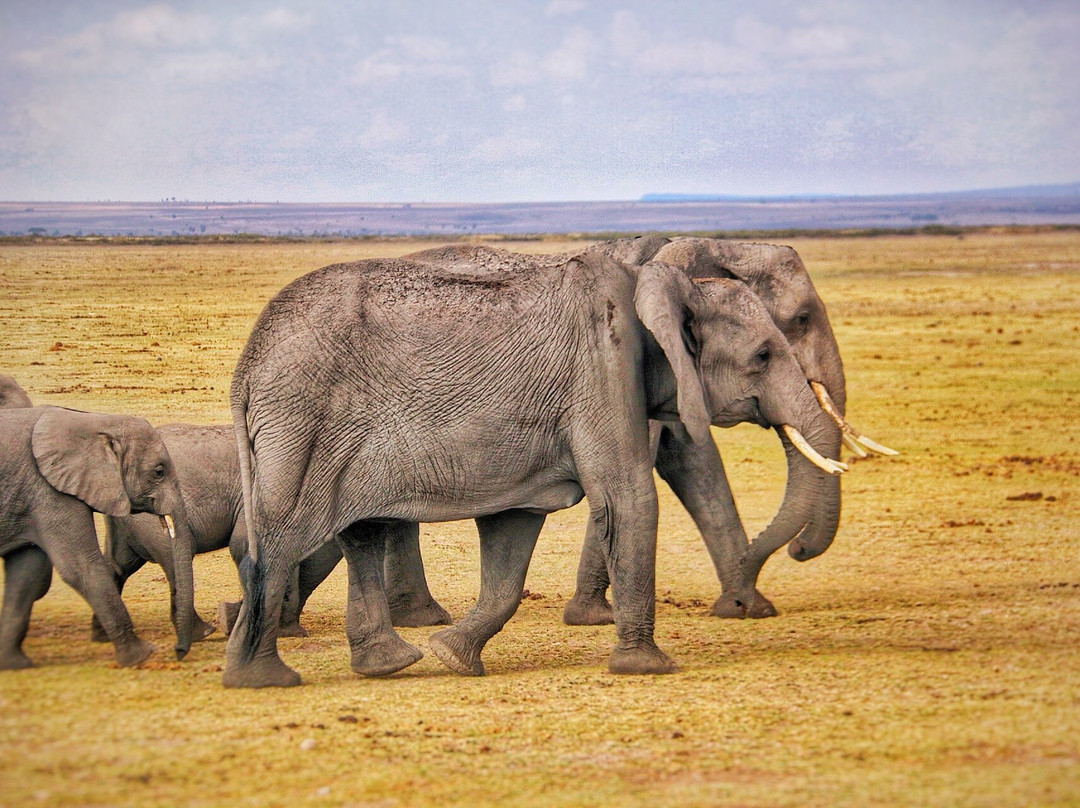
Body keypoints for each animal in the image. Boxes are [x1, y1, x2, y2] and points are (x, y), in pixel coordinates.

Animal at [0, 404, 196, 669]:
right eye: (159, 472)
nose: (178, 652)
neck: (95, 422)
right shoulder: (49, 490)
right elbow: (82, 568)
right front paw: (142, 655)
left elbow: (26, 574)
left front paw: (15, 663)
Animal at [221, 247, 842, 687]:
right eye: (764, 354)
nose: (792, 553)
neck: (654, 282)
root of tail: (245, 369)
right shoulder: (603, 366)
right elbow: (629, 497)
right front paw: (650, 669)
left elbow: (512, 535)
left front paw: (455, 657)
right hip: (301, 421)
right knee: (281, 540)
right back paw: (263, 680)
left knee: (362, 530)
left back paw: (386, 663)